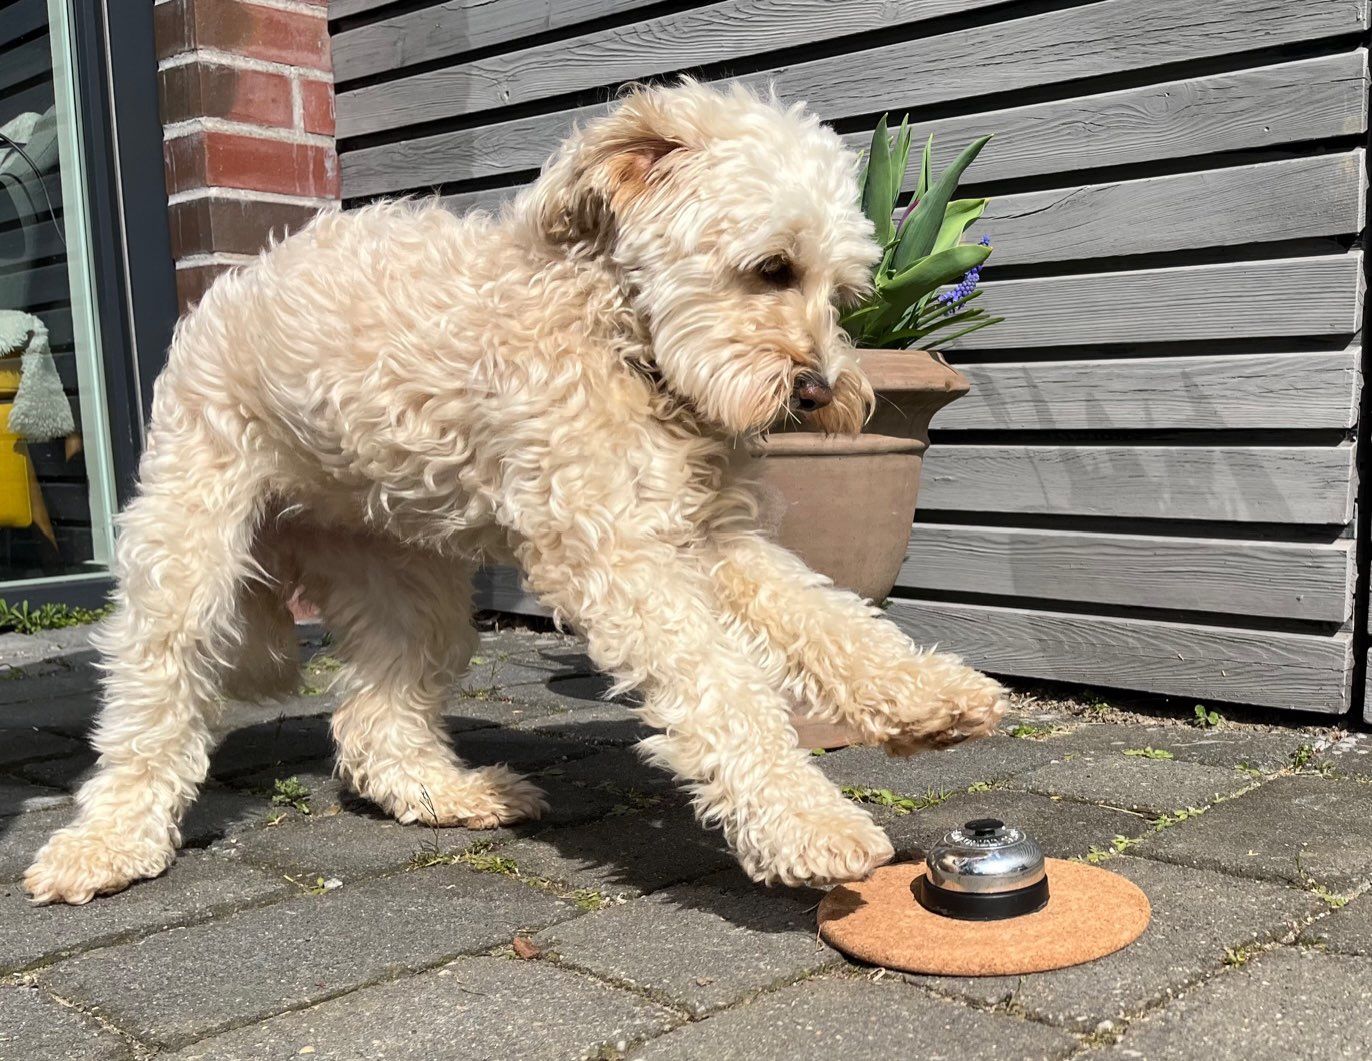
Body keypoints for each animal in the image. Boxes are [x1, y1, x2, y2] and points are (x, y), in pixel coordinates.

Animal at [26, 80, 1004, 900]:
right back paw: (105, 844)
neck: (620, 338)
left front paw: (931, 697)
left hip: (409, 587)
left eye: (842, 293)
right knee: (150, 702)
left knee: (375, 721)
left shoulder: (705, 537)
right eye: (771, 268)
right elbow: (722, 690)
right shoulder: (620, 555)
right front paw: (808, 822)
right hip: (189, 559)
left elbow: (829, 617)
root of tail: (228, 289)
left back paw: (448, 792)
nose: (821, 391)